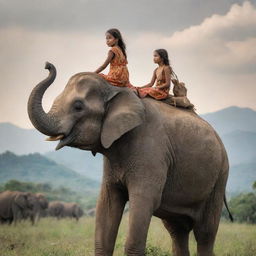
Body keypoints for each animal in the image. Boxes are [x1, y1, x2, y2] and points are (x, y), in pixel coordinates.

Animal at [27, 62, 233, 256]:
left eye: (78, 106)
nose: (47, 65)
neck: (117, 91)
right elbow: (108, 202)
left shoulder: (151, 150)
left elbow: (143, 201)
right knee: (177, 230)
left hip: (220, 176)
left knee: (204, 232)